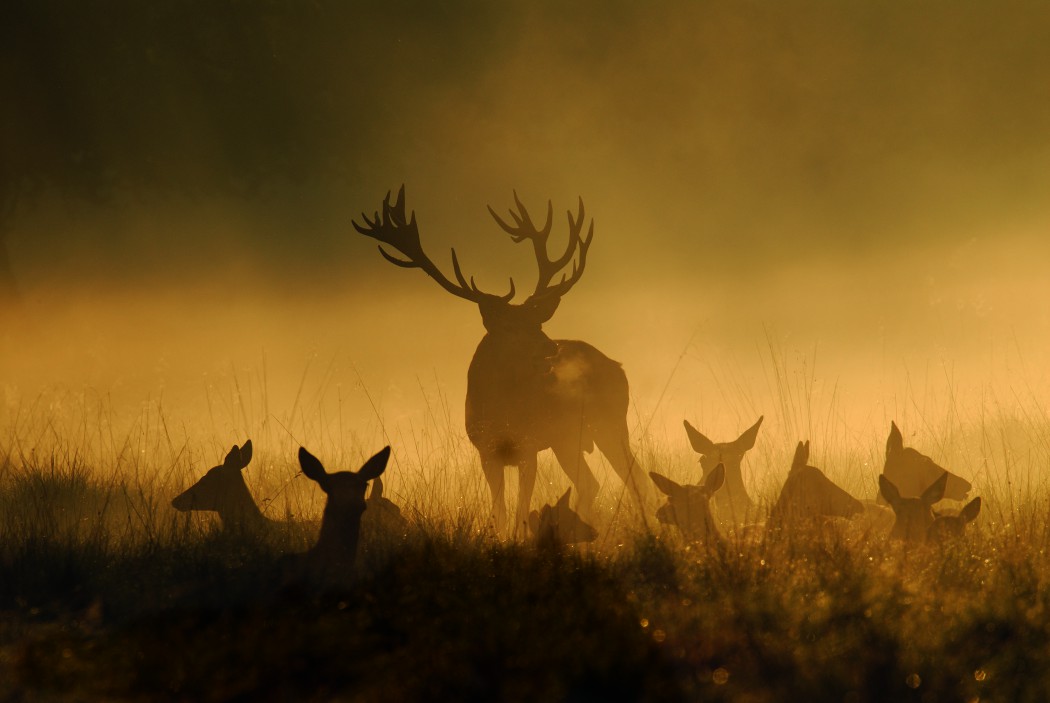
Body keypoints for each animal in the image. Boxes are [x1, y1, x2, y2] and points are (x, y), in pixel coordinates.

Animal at [354, 186, 653, 535]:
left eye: (537, 322)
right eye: (510, 327)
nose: (550, 347)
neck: (501, 409)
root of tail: (617, 366)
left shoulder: (528, 446)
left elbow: (521, 510)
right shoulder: (486, 450)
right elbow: (500, 512)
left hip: (609, 423)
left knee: (634, 480)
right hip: (568, 439)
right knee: (593, 484)